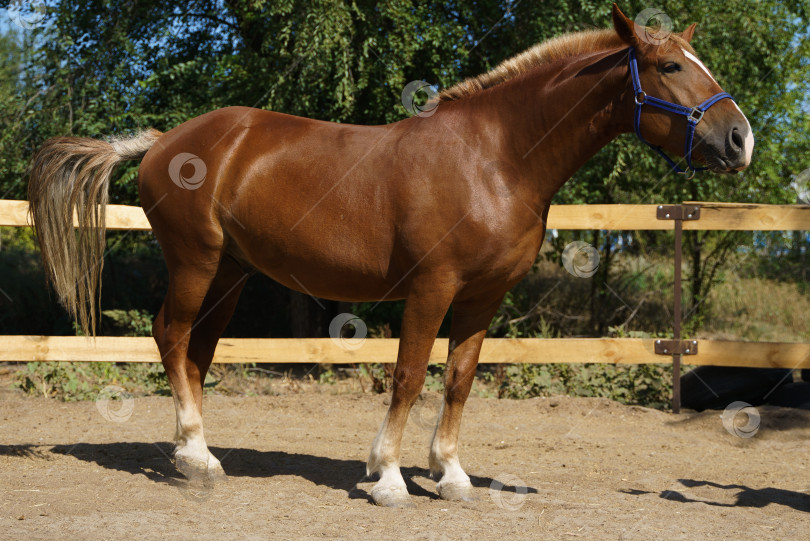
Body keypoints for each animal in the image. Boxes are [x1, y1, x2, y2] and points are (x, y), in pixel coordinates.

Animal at [30, 5, 752, 506]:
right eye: (670, 67)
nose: (740, 139)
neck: (495, 158)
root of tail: (161, 141)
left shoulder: (483, 297)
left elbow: (459, 378)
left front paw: (451, 474)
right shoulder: (432, 287)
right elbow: (407, 375)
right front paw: (388, 479)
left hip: (229, 272)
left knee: (197, 351)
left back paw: (195, 452)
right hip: (195, 261)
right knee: (171, 335)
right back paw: (195, 460)